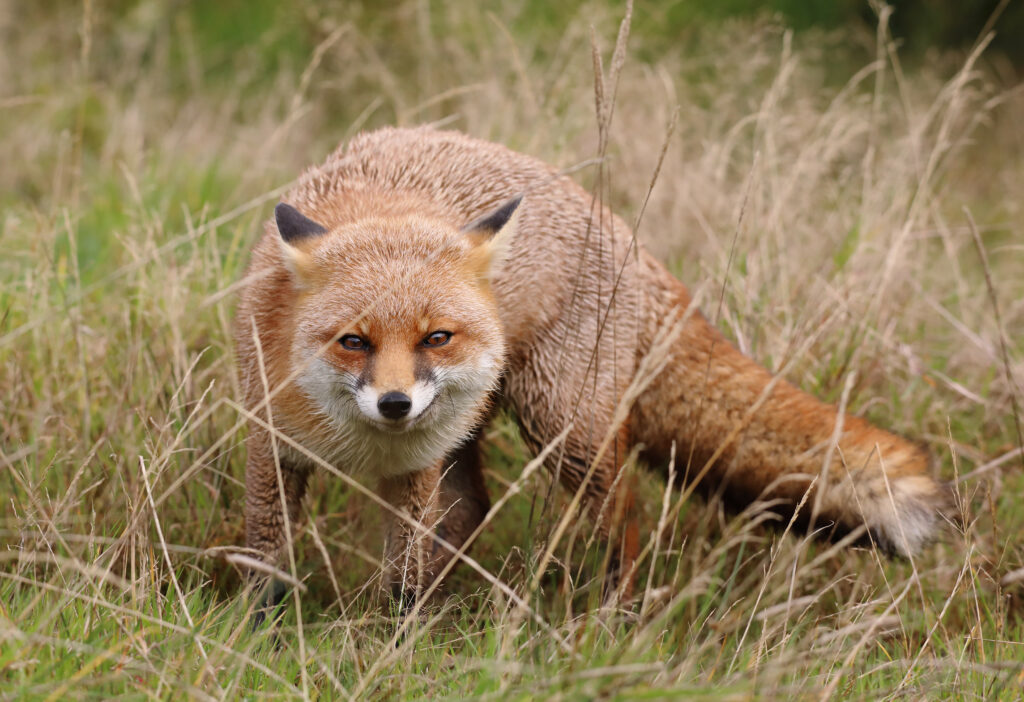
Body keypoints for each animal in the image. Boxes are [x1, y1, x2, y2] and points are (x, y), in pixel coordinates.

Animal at [235, 126, 949, 607]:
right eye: (353, 342)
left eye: (436, 337)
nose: (394, 405)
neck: (360, 446)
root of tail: (628, 239)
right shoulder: (272, 446)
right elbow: (264, 557)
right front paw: (259, 629)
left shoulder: (416, 471)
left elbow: (402, 574)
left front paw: (395, 637)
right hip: (486, 431)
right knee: (472, 511)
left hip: (564, 429)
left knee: (624, 518)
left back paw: (614, 620)